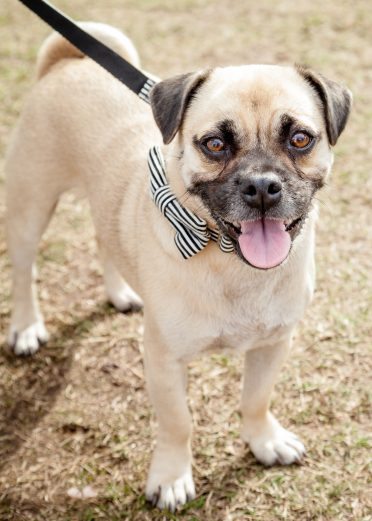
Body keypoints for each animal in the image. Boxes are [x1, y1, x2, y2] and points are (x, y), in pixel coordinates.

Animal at [4, 22, 350, 510]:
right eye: (215, 145)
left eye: (300, 139)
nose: (262, 185)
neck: (231, 261)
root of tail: (68, 63)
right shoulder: (163, 359)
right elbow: (177, 422)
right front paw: (171, 477)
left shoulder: (272, 346)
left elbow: (256, 399)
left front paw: (264, 441)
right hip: (31, 204)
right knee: (23, 270)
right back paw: (26, 328)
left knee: (104, 239)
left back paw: (120, 294)